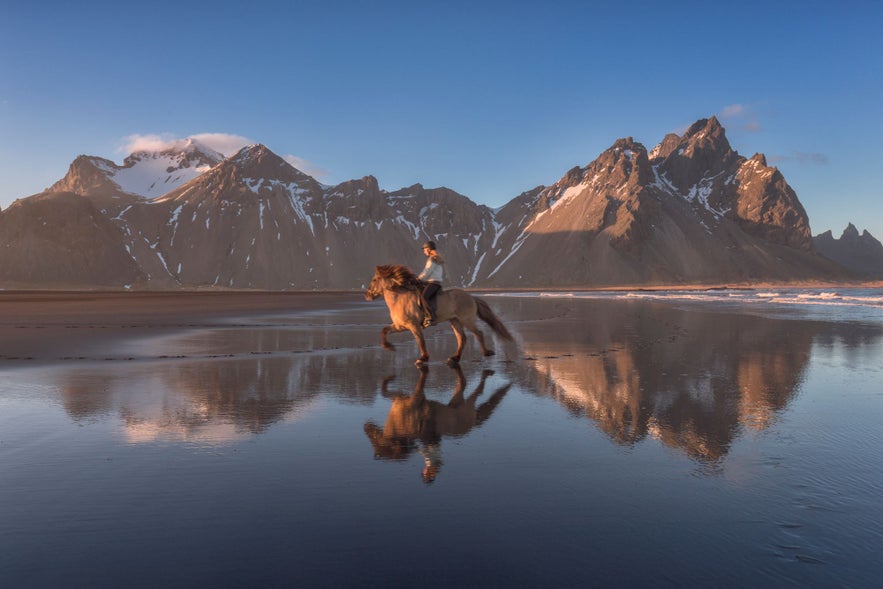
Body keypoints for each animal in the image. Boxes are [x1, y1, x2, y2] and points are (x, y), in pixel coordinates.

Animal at [364, 266, 516, 366]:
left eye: (375, 279)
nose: (367, 295)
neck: (399, 299)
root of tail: (471, 297)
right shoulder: (400, 326)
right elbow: (384, 330)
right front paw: (388, 347)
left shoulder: (413, 326)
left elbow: (420, 341)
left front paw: (422, 359)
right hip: (454, 321)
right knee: (462, 338)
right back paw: (454, 358)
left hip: (466, 320)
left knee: (478, 333)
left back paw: (486, 352)